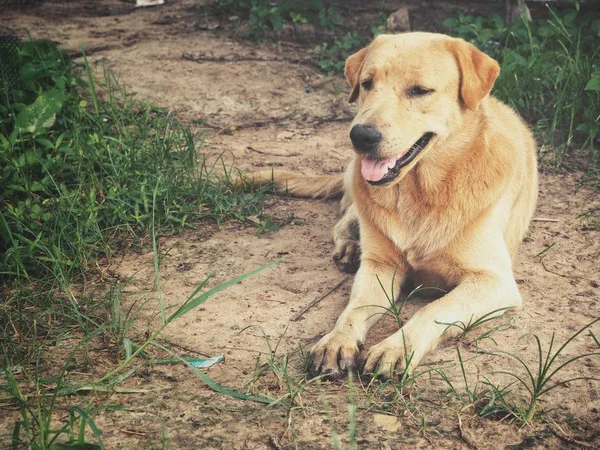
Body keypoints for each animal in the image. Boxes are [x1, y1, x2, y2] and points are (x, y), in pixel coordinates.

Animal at [244, 31, 540, 378]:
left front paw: (397, 347)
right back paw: (350, 247)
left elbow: (434, 308)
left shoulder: (494, 281)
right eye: (367, 83)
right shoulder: (381, 267)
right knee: (345, 219)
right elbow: (354, 309)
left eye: (420, 90)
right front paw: (337, 340)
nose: (360, 136)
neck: (421, 192)